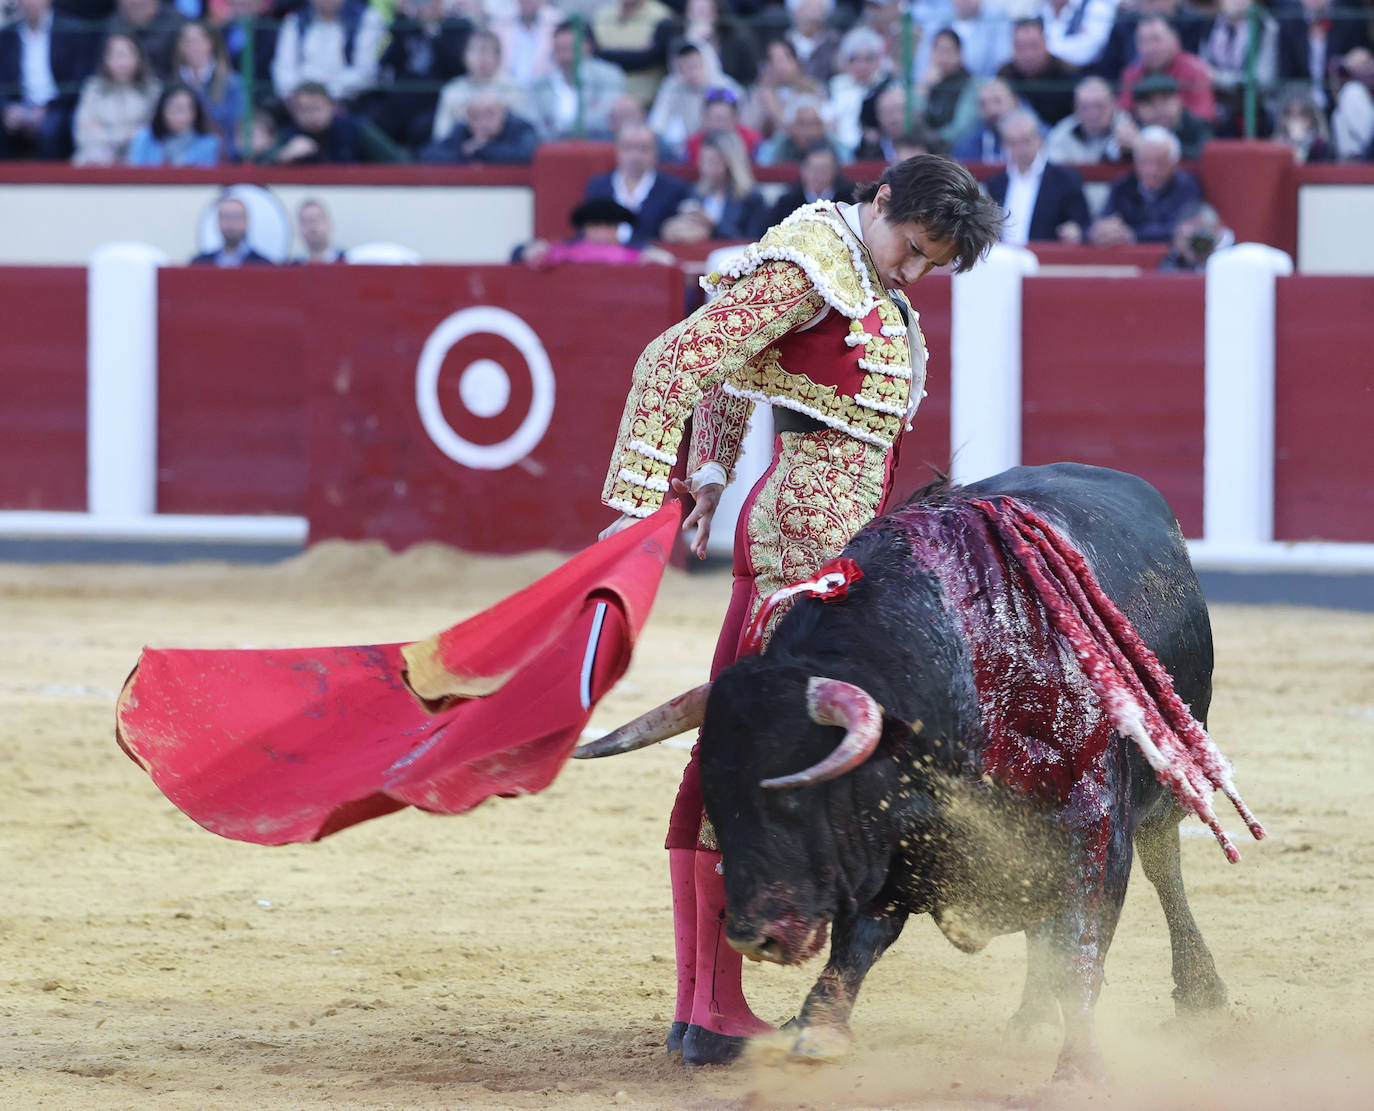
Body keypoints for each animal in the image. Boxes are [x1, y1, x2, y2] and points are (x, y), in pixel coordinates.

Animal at [579, 464, 1236, 1076]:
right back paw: (1030, 1017)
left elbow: (1079, 948)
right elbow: (861, 938)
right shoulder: (896, 841)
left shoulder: (1093, 829)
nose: (752, 935)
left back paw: (1200, 991)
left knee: (1162, 866)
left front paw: (1078, 1069)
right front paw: (816, 1028)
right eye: (715, 797)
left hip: (1163, 783)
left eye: (793, 798)